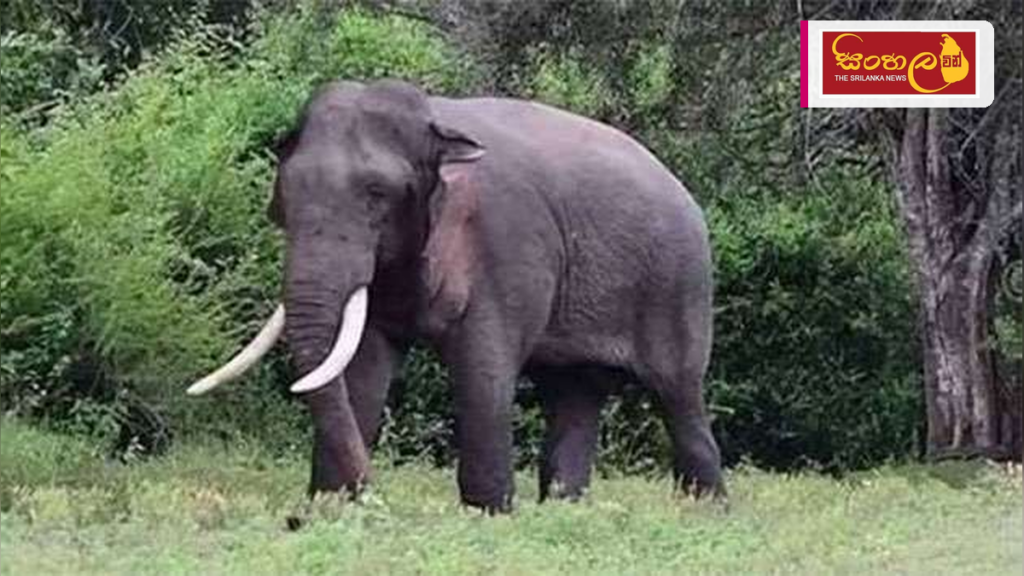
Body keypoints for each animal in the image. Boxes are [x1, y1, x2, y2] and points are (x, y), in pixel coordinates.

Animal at [188, 79, 724, 512]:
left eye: (377, 194)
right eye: (284, 195)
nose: (374, 497)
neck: (436, 123)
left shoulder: (507, 247)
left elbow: (483, 369)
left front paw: (489, 513)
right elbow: (363, 367)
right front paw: (331, 508)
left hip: (679, 284)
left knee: (677, 392)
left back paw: (705, 509)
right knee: (574, 391)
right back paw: (565, 508)